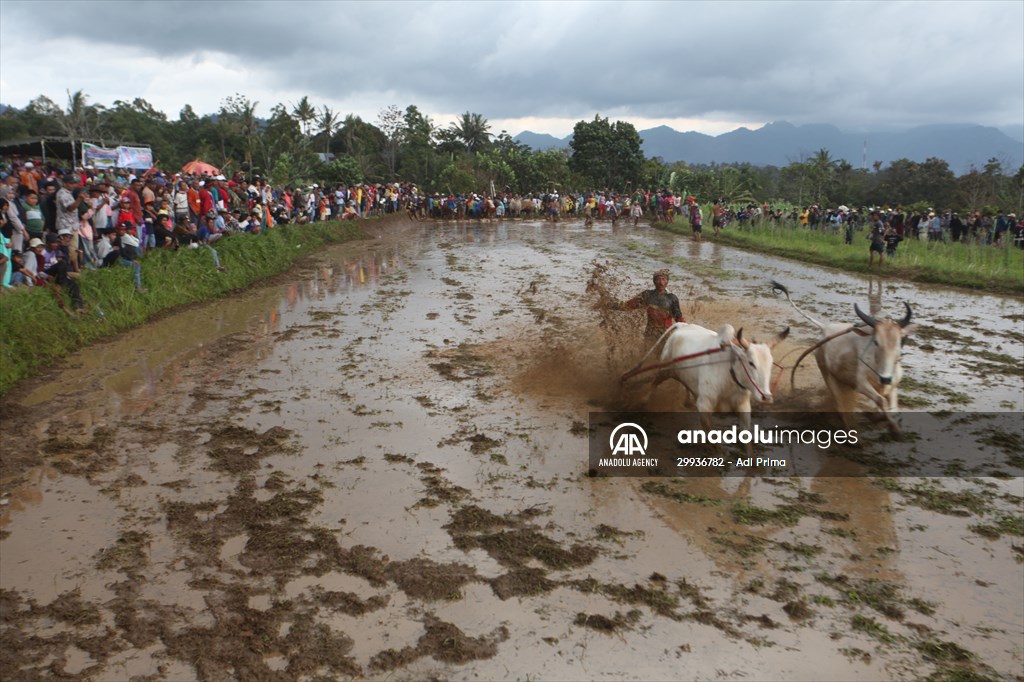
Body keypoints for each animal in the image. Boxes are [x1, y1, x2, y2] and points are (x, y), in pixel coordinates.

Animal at [651, 323, 786, 428]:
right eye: (751, 362)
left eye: (770, 363)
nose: (766, 397)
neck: (728, 374)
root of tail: (683, 326)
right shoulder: (704, 407)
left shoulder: (743, 407)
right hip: (664, 370)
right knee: (653, 384)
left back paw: (687, 401)